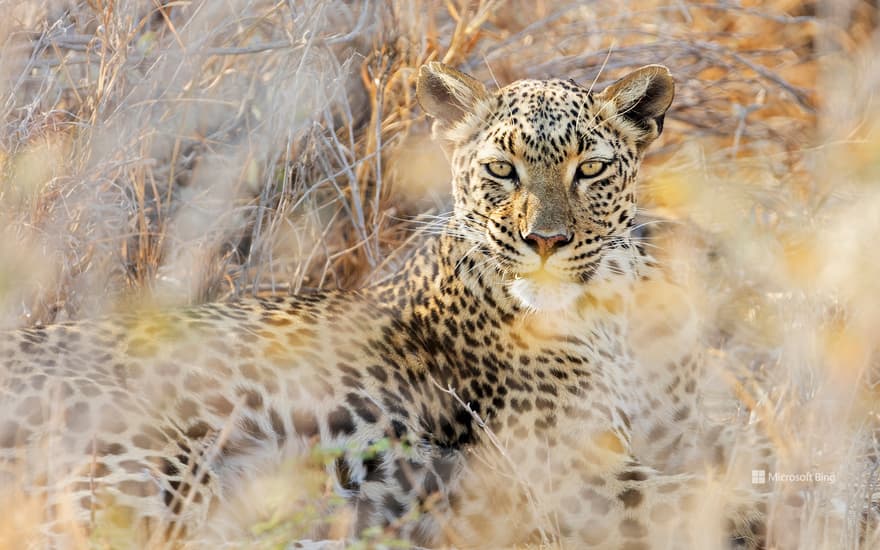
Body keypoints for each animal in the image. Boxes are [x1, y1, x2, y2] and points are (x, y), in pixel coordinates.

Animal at [0, 62, 771, 549]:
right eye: (502, 170)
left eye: (590, 168)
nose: (546, 241)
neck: (606, 312)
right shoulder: (570, 475)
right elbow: (734, 500)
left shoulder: (694, 432)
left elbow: (761, 464)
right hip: (145, 463)